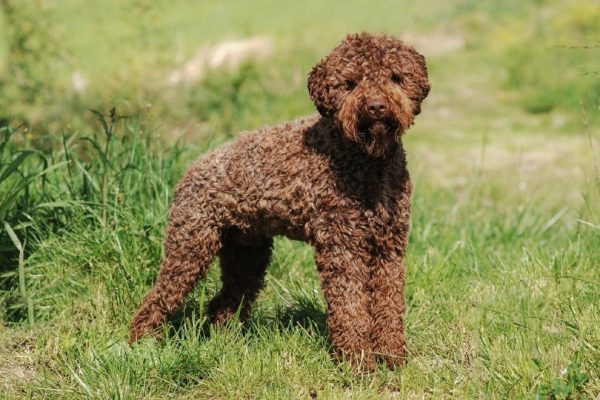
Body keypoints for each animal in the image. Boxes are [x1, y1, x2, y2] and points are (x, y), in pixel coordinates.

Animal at [130, 32, 432, 370]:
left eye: (396, 77)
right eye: (350, 83)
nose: (376, 107)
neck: (365, 162)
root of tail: (193, 168)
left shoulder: (389, 247)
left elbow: (389, 305)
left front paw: (392, 358)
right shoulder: (342, 248)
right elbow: (350, 308)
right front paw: (358, 361)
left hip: (246, 253)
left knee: (224, 303)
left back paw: (224, 343)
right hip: (190, 247)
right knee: (158, 300)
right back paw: (140, 347)